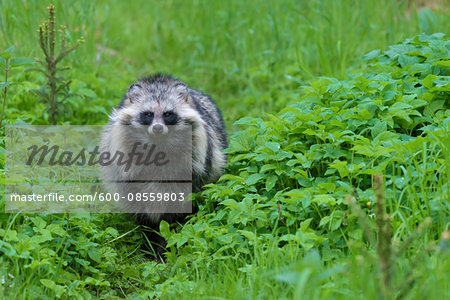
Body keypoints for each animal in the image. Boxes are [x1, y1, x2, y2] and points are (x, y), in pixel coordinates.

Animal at [102, 73, 229, 255]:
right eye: (148, 114)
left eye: (168, 114)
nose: (157, 128)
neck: (158, 146)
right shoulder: (128, 172)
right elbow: (140, 204)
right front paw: (149, 239)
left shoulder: (192, 167)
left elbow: (178, 209)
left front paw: (167, 242)